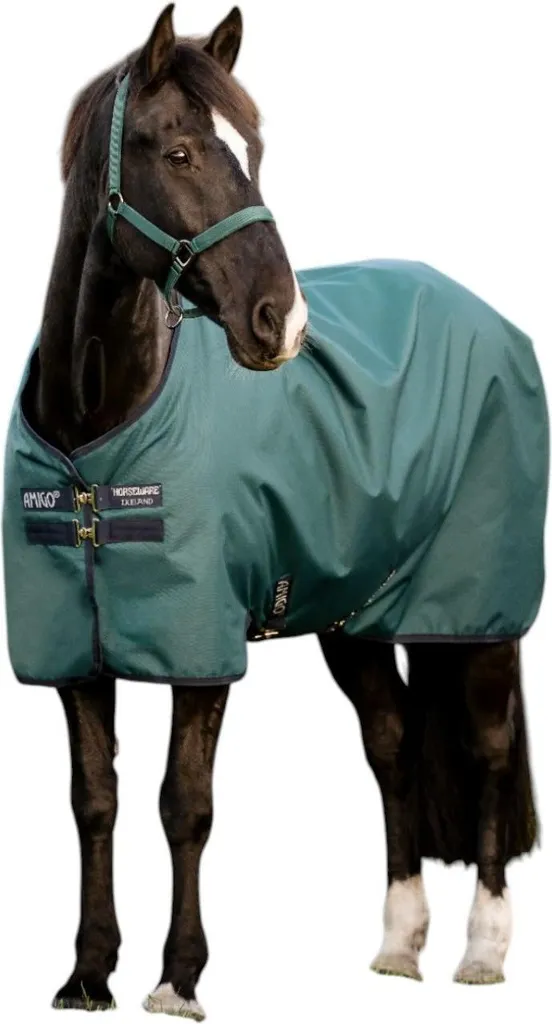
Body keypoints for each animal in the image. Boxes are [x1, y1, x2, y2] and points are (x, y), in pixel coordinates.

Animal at [3, 4, 546, 1016]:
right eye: (177, 151)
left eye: (249, 153)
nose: (280, 322)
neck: (98, 434)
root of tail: (492, 319)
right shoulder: (72, 655)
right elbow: (94, 798)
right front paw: (88, 973)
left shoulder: (201, 647)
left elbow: (185, 803)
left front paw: (177, 976)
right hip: (355, 617)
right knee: (393, 744)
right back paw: (398, 943)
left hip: (477, 615)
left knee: (489, 751)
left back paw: (483, 950)